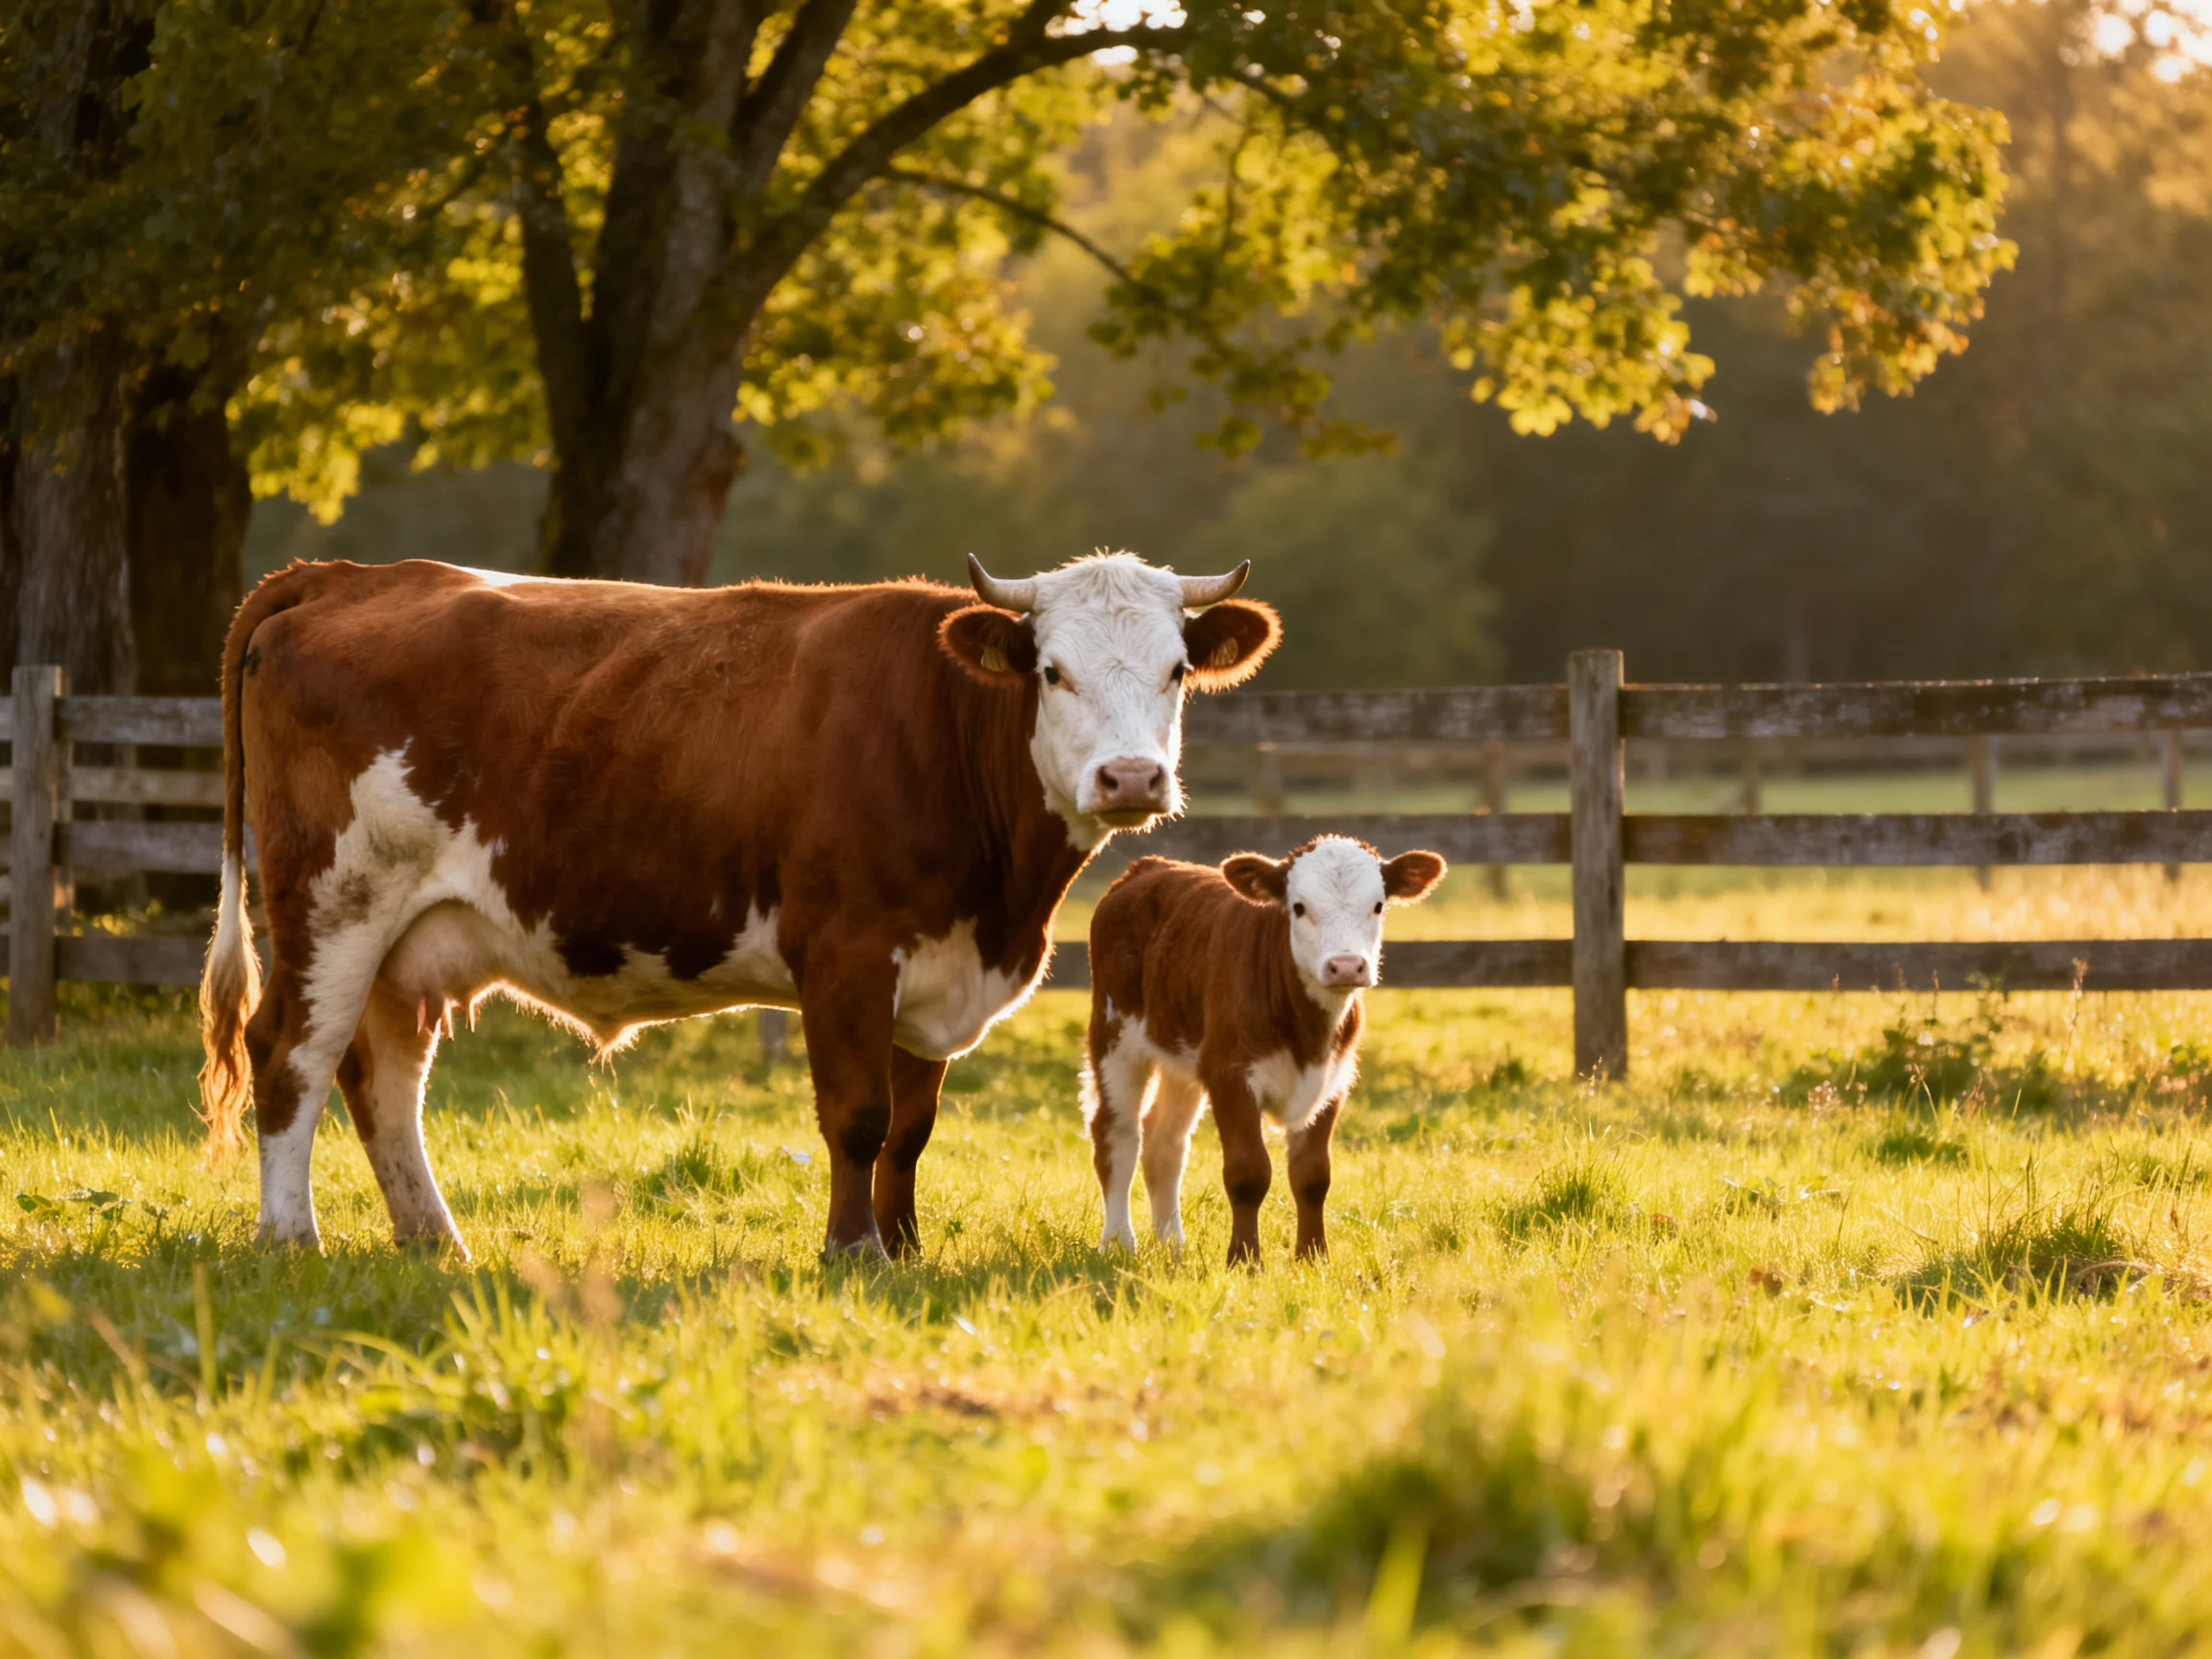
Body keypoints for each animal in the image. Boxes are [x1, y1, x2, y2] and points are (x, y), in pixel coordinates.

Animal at [197, 552, 1279, 1260]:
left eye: (1177, 671)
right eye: (1053, 672)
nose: (1130, 777)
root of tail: (345, 573)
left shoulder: (937, 971)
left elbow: (912, 1127)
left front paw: (906, 1248)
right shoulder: (845, 951)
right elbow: (857, 1117)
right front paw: (854, 1252)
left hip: (406, 938)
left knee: (381, 1076)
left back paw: (433, 1240)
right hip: (334, 902)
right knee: (290, 1053)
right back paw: (290, 1237)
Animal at [1080, 837, 1447, 1265]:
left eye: (1378, 905)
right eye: (1299, 906)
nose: (1345, 965)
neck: (1306, 1031)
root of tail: (1149, 867)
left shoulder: (1333, 1080)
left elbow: (1312, 1174)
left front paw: (1313, 1257)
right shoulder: (1230, 1074)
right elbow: (1247, 1172)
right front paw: (1244, 1259)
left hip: (1179, 1055)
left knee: (1164, 1141)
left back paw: (1173, 1246)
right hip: (1115, 1036)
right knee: (1117, 1134)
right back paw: (1118, 1243)